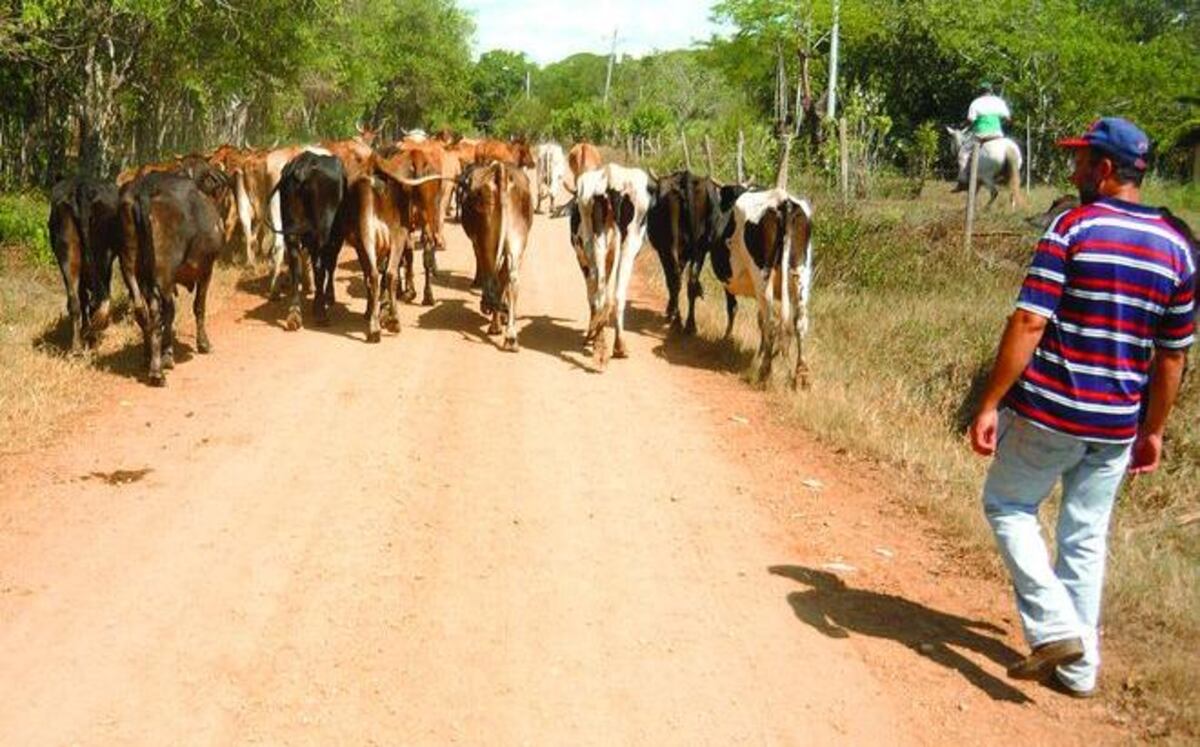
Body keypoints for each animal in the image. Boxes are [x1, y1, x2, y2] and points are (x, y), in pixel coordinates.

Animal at [48, 176, 121, 353]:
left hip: (67, 253)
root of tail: (81, 188)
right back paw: (93, 332)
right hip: (103, 253)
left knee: (75, 301)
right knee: (99, 296)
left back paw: (77, 346)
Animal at [117, 174, 223, 386]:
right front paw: (203, 344)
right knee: (155, 313)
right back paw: (157, 372)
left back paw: (148, 357)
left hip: (130, 268)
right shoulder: (206, 270)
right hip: (161, 274)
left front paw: (167, 353)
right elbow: (198, 307)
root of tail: (144, 188)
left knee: (141, 310)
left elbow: (171, 313)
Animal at [460, 162, 532, 353]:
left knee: (492, 276)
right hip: (517, 240)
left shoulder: (477, 243)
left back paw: (492, 318)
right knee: (511, 279)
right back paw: (511, 336)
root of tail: (501, 169)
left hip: (488, 243)